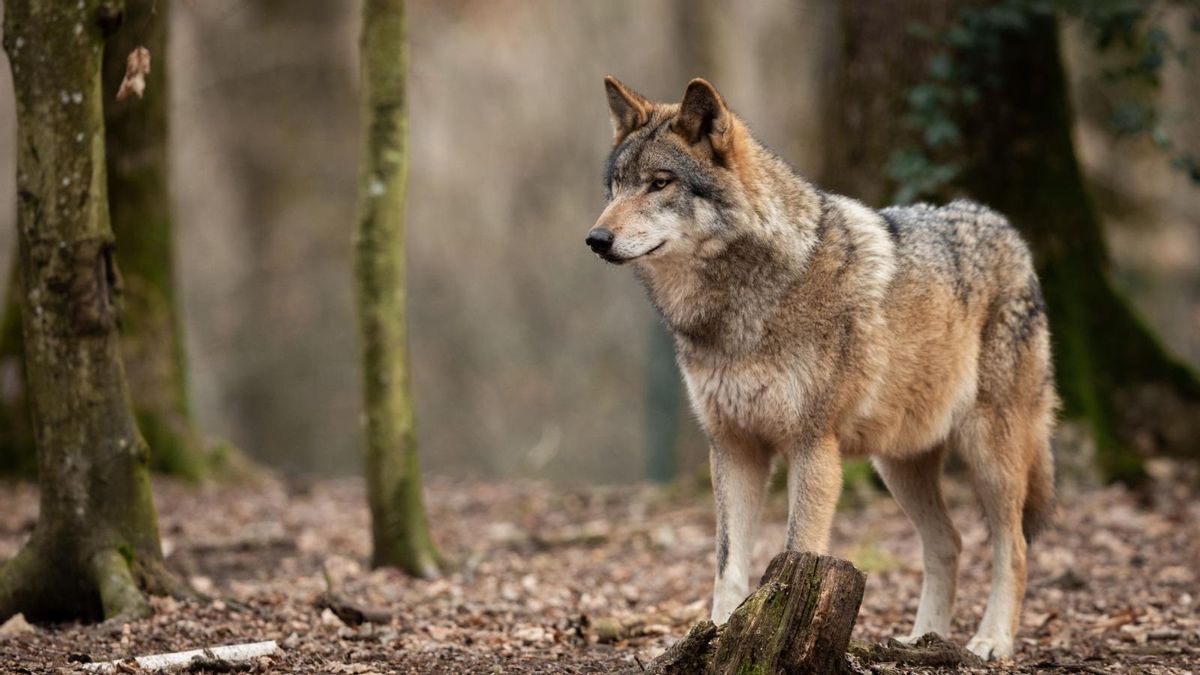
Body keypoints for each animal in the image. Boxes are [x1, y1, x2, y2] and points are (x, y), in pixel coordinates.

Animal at [587, 76, 1057, 660]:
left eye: (659, 184)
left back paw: (991, 641)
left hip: (990, 455)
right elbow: (727, 565)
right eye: (616, 187)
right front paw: (717, 638)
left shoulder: (812, 447)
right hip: (898, 464)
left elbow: (796, 551)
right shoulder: (733, 448)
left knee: (1013, 547)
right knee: (948, 542)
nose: (596, 240)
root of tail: (1008, 230)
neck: (740, 307)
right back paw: (921, 639)